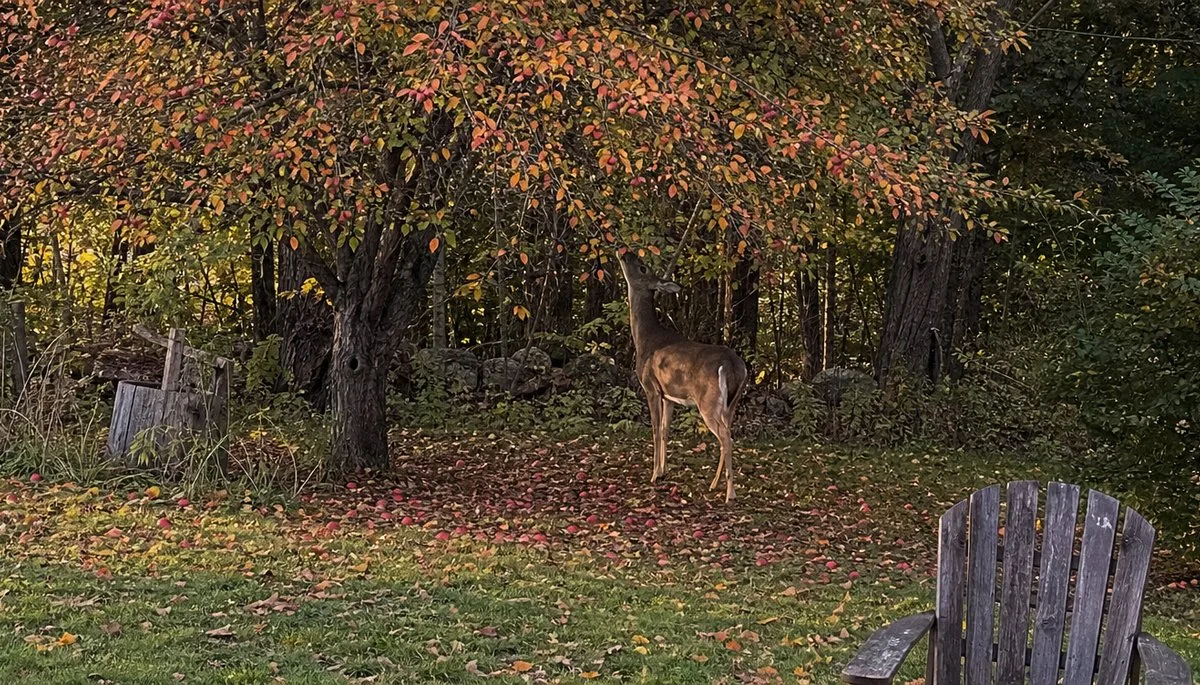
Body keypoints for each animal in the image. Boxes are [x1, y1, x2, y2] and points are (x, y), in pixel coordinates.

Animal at [617, 250, 749, 502]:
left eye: (643, 267)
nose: (624, 251)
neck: (645, 340)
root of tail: (732, 365)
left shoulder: (650, 387)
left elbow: (655, 430)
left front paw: (654, 475)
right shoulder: (669, 395)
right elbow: (666, 430)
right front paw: (663, 471)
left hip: (708, 400)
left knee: (725, 437)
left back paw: (730, 493)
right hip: (731, 403)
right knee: (727, 433)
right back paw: (714, 484)